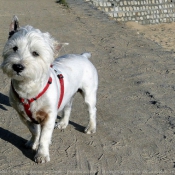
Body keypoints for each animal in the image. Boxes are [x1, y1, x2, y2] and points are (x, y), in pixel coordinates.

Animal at [0, 15, 98, 163]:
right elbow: (34, 131)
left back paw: (91, 127)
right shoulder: (23, 115)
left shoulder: (49, 116)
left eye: (35, 53)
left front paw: (42, 154)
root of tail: (83, 56)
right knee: (68, 107)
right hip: (68, 93)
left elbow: (44, 137)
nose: (18, 67)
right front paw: (33, 142)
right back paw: (63, 123)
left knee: (92, 110)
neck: (28, 89)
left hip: (89, 93)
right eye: (14, 48)